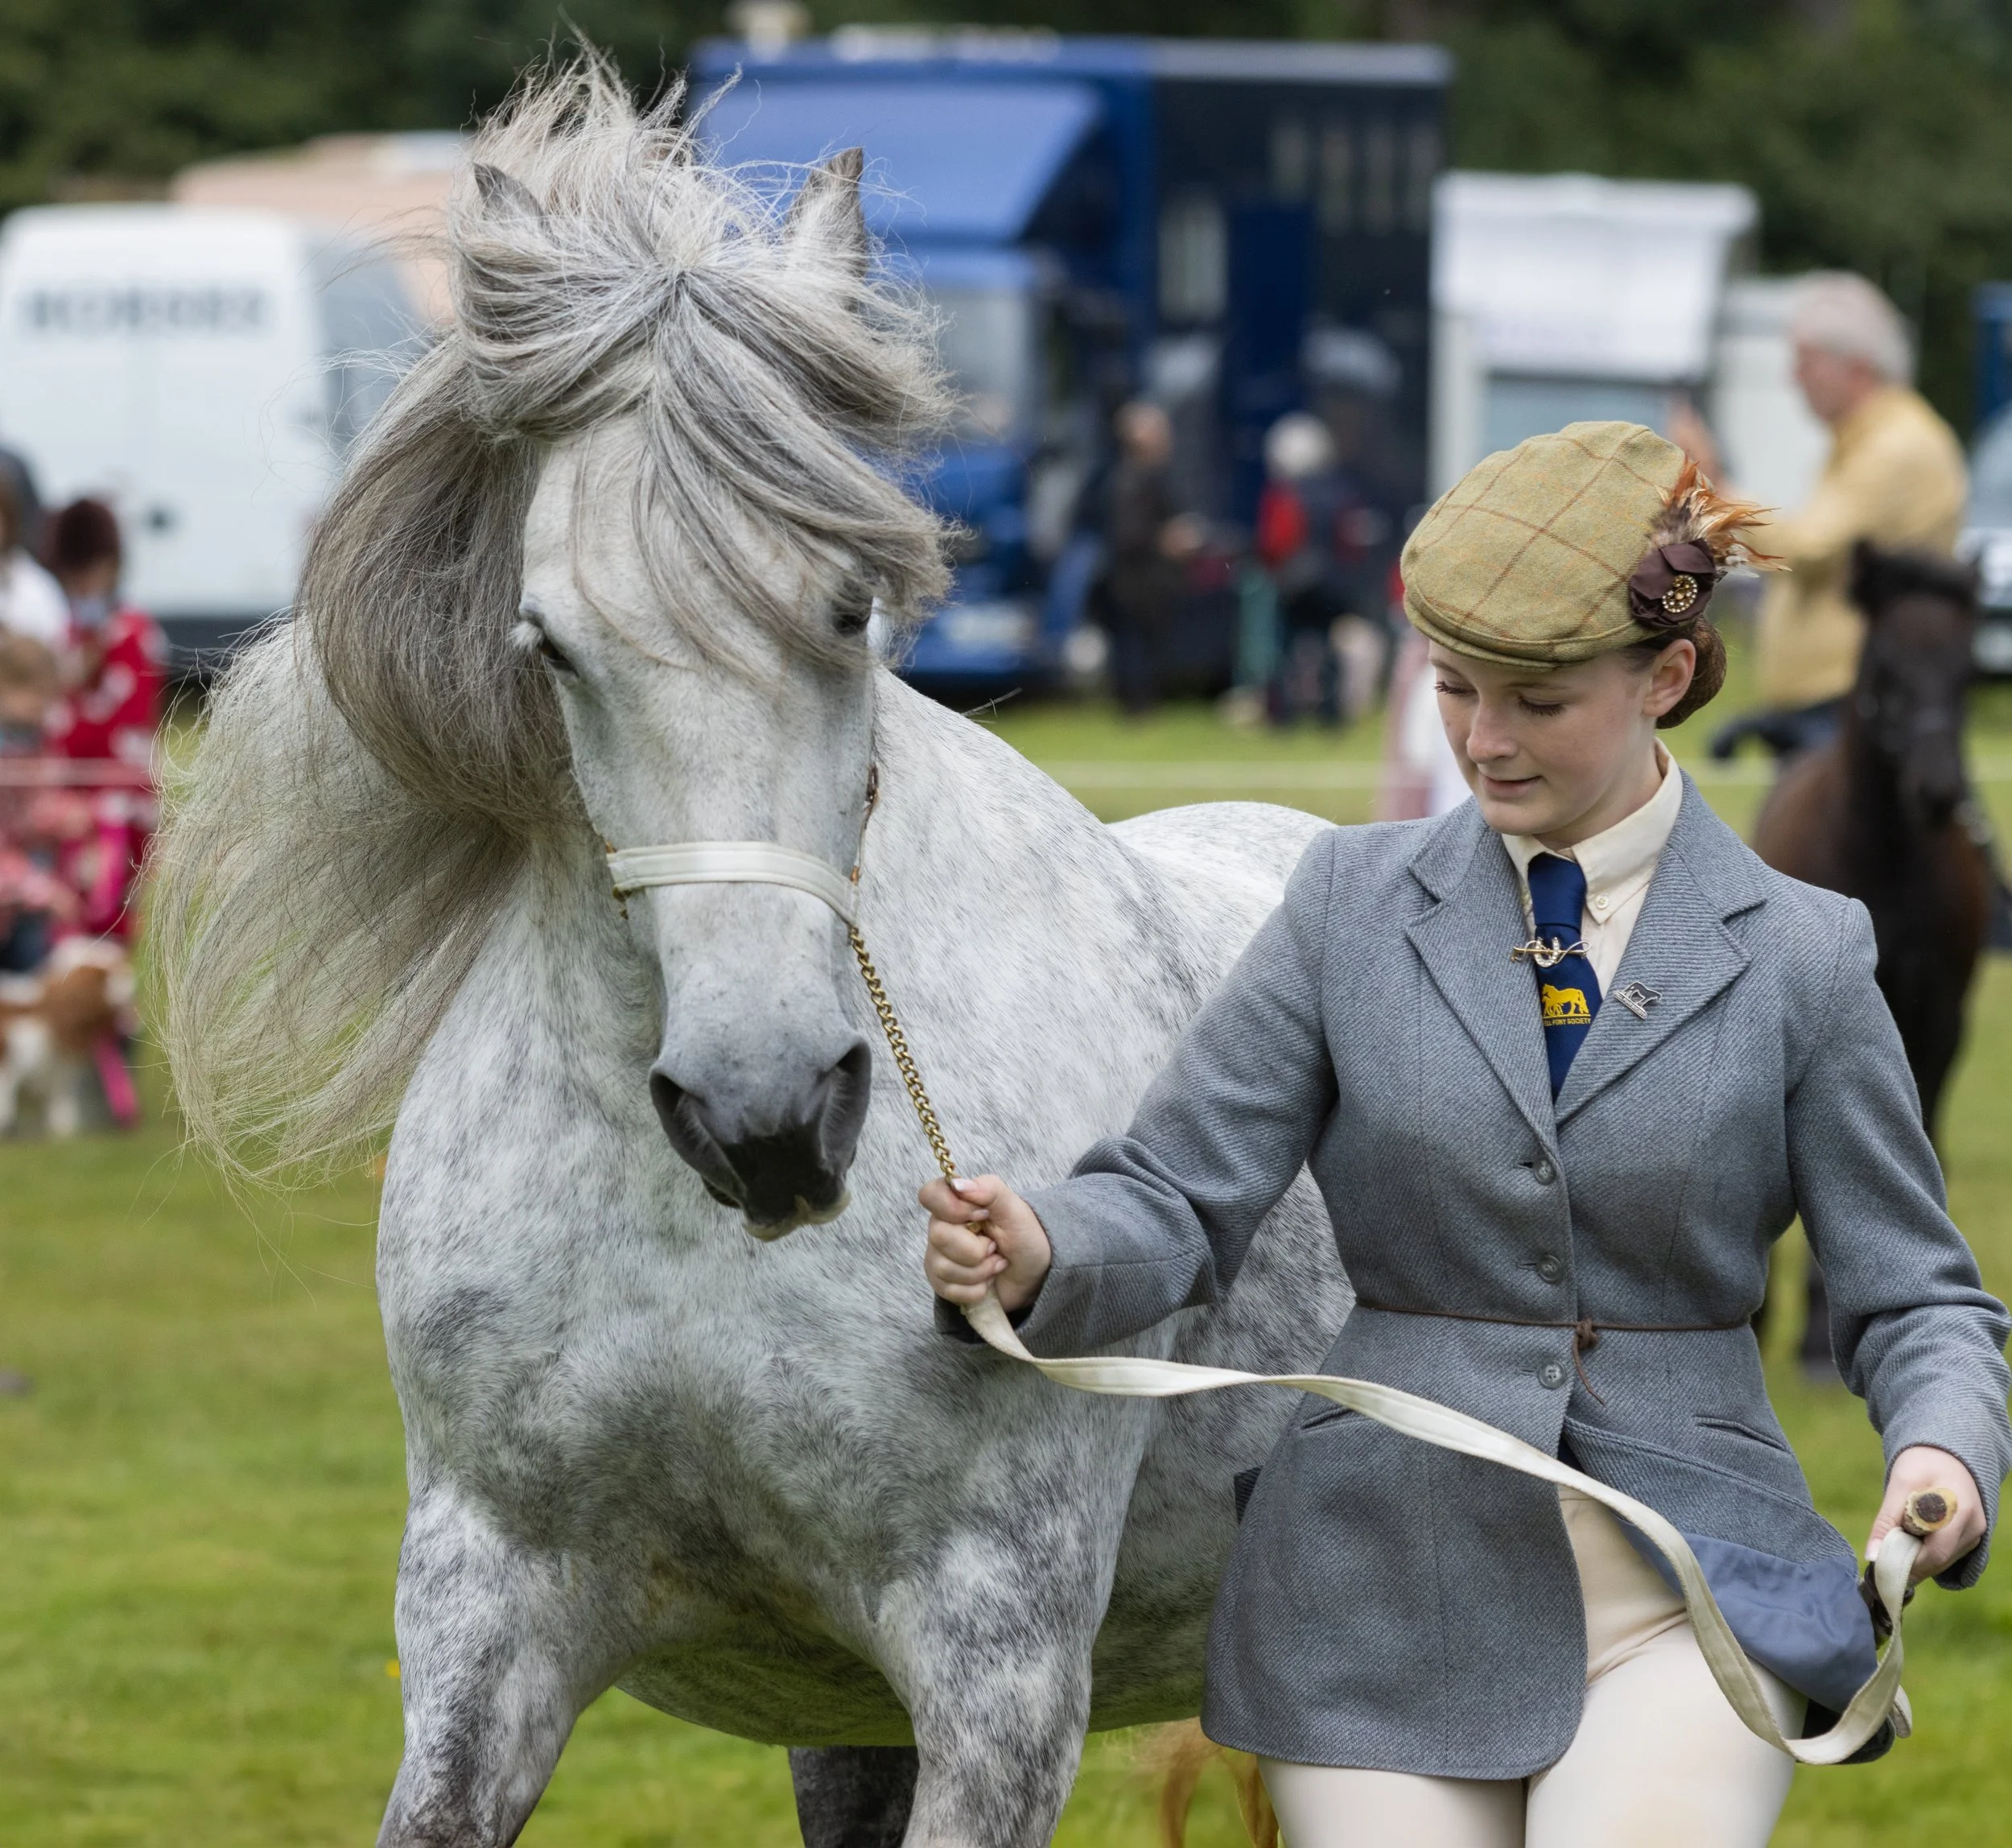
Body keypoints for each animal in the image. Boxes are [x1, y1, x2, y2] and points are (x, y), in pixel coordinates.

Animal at [1751, 541, 1991, 1368]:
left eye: (1968, 671)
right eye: (1884, 666)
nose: (1939, 792)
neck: (1884, 861)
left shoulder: (1940, 1021)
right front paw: (1814, 1340)